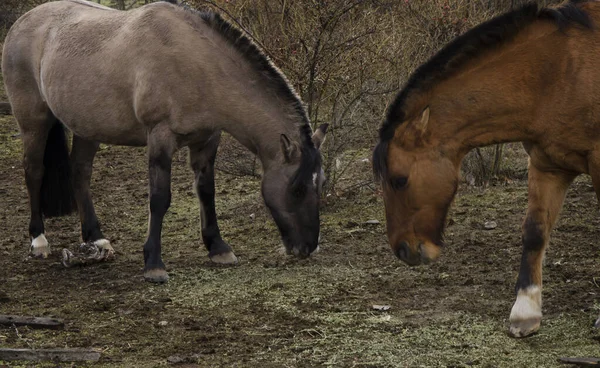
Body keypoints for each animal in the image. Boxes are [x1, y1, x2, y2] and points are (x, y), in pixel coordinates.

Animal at [2, 0, 328, 284]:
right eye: (297, 189)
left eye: (320, 183)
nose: (308, 247)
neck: (196, 63)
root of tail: (22, 22)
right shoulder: (160, 138)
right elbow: (159, 199)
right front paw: (154, 264)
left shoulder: (207, 140)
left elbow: (206, 192)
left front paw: (218, 248)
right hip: (34, 121)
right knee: (34, 171)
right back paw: (39, 241)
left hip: (87, 128)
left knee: (80, 173)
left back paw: (97, 238)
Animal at [376, 0, 600, 338]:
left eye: (399, 180)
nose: (403, 250)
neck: (561, 72)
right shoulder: (547, 164)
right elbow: (535, 231)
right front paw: (525, 310)